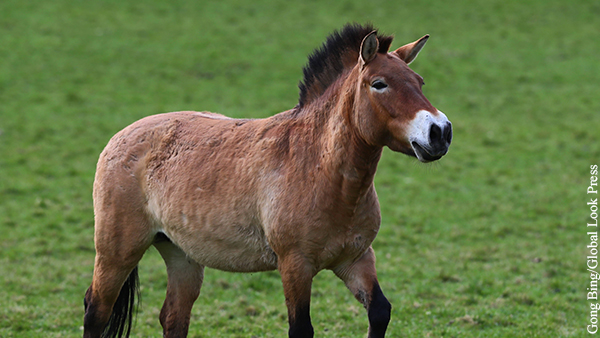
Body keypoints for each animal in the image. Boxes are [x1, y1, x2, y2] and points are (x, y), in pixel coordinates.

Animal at [83, 23, 450, 338]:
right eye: (379, 84)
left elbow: (380, 311)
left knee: (173, 317)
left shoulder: (356, 259)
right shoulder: (295, 265)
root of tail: (120, 138)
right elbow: (301, 328)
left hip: (181, 255)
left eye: (419, 82)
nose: (440, 132)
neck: (321, 171)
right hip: (117, 252)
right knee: (96, 311)